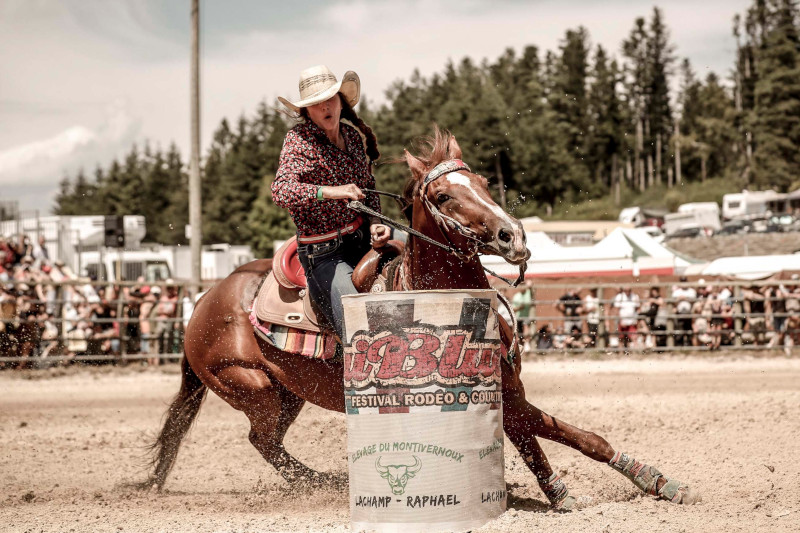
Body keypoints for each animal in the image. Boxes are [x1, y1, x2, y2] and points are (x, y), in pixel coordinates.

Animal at [143, 127, 699, 509]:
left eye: (482, 181)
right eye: (444, 195)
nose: (512, 236)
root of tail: (203, 303)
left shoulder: (508, 389)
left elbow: (574, 439)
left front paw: (655, 481)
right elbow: (541, 439)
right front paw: (564, 493)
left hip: (287, 393)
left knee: (269, 441)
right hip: (249, 385)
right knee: (262, 441)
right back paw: (327, 482)